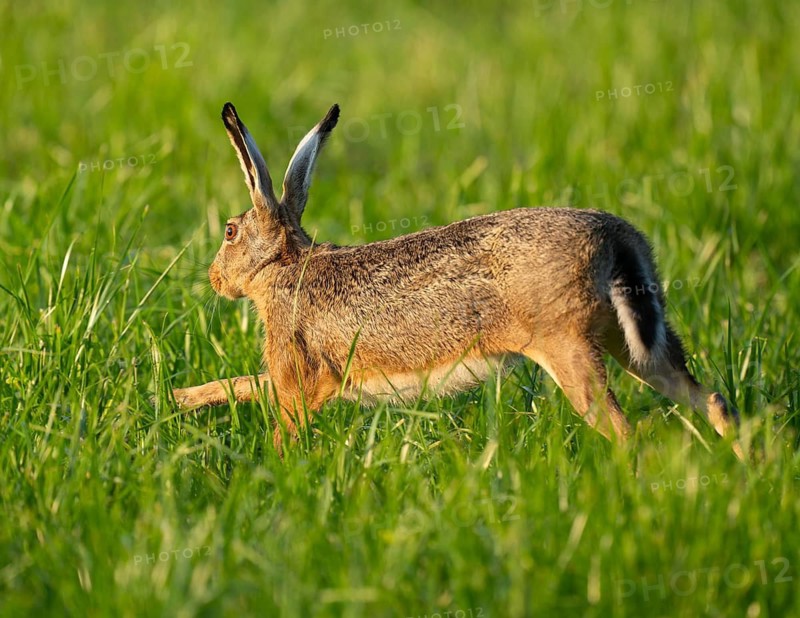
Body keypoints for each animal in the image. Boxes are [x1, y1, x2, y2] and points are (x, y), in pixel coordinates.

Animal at [170, 102, 743, 459]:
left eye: (229, 232)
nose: (214, 279)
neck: (284, 266)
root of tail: (616, 241)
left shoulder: (299, 377)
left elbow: (271, 407)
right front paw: (179, 399)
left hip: (568, 344)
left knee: (625, 433)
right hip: (634, 341)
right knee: (710, 398)